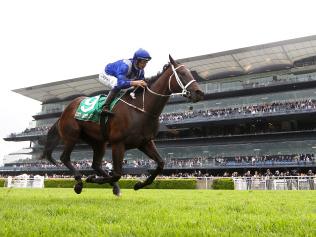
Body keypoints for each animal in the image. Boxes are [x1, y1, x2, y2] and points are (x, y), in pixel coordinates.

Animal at [40, 55, 204, 194]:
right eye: (182, 73)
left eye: (190, 73)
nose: (199, 93)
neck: (140, 109)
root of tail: (66, 109)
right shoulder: (118, 143)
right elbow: (117, 173)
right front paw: (92, 179)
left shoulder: (145, 142)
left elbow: (161, 164)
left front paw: (138, 184)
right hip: (72, 136)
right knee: (65, 158)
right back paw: (80, 182)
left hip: (99, 142)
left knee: (95, 164)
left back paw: (114, 187)